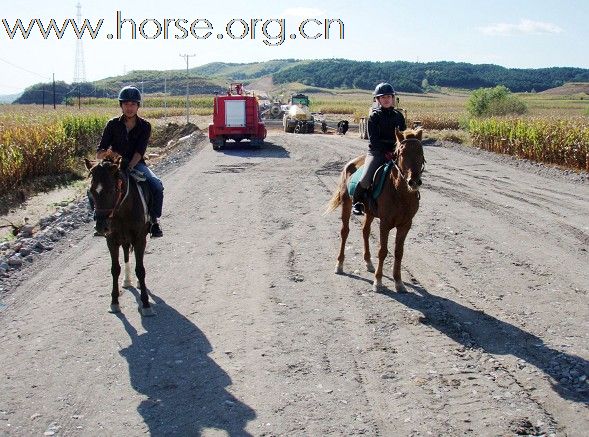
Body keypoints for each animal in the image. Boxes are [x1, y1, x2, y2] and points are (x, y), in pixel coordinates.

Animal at [86, 155, 154, 316]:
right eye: (91, 191)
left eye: (112, 190)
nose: (101, 226)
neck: (122, 210)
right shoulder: (111, 241)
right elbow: (115, 269)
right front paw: (114, 302)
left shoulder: (139, 239)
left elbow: (140, 269)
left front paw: (146, 304)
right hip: (123, 239)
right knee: (126, 255)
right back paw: (127, 280)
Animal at [326, 129, 422, 292]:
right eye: (402, 153)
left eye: (421, 152)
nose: (414, 182)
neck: (399, 191)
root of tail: (351, 163)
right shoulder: (385, 223)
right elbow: (382, 251)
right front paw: (378, 281)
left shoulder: (405, 225)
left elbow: (399, 252)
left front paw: (398, 282)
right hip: (346, 204)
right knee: (344, 232)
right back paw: (339, 265)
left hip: (370, 212)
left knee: (365, 231)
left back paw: (368, 262)